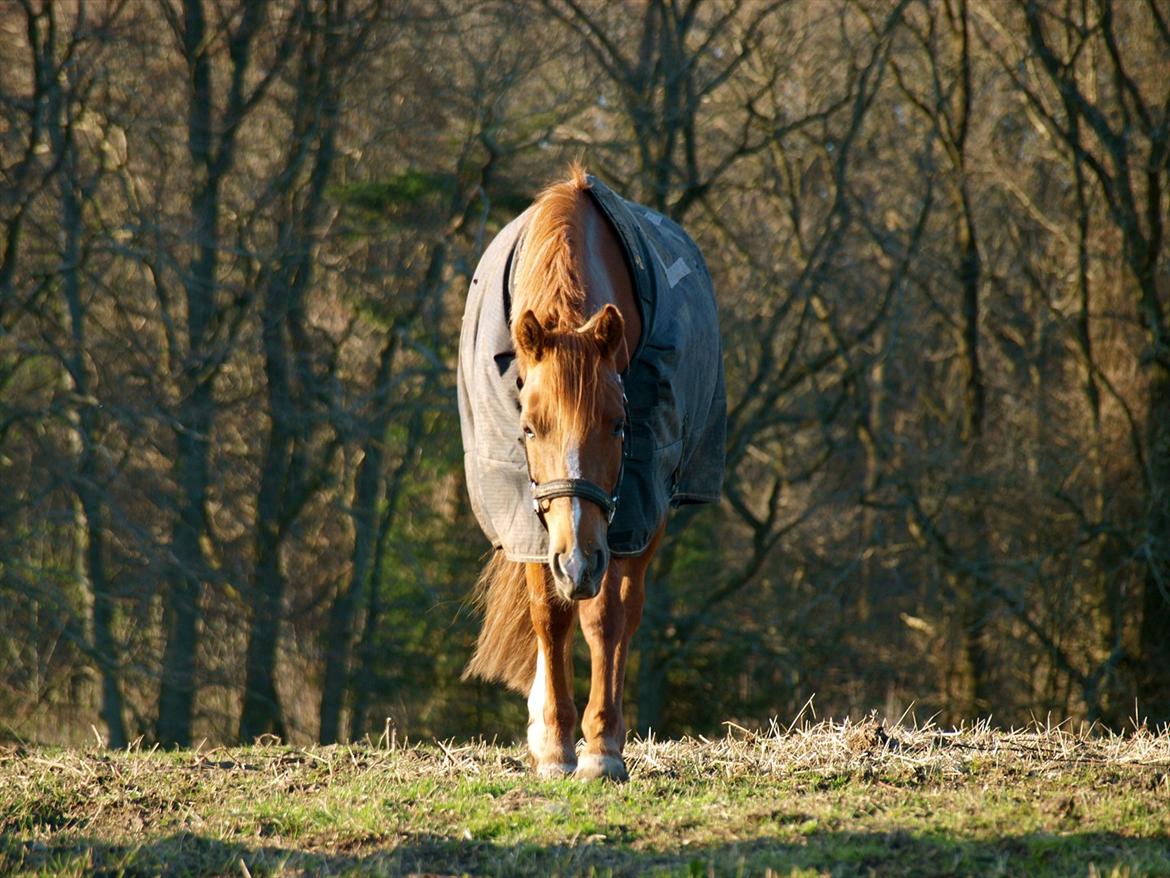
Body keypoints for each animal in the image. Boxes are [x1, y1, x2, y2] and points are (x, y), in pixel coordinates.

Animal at [458, 166, 720, 782]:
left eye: (621, 425)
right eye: (528, 428)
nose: (578, 561)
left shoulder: (637, 509)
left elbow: (606, 616)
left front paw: (602, 748)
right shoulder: (529, 521)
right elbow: (550, 617)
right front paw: (555, 744)